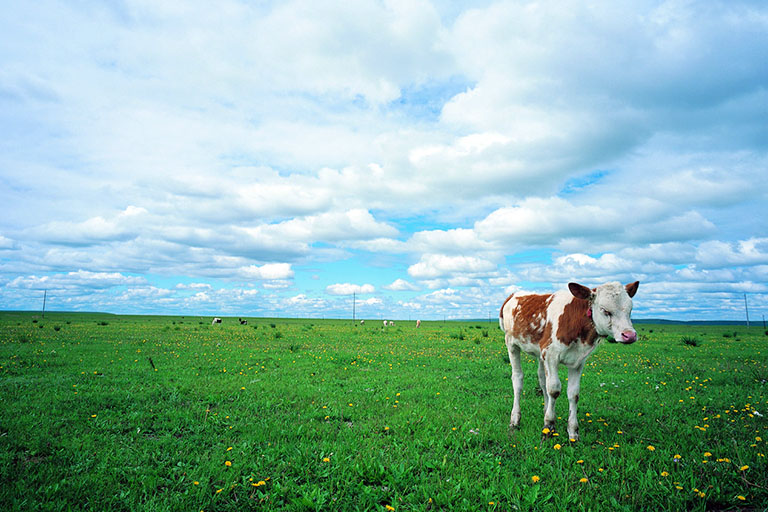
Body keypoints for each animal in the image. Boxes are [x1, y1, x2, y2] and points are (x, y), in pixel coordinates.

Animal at [500, 280, 640, 440]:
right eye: (605, 310)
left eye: (630, 310)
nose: (630, 335)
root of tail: (513, 294)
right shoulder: (551, 355)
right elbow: (554, 389)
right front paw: (549, 426)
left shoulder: (577, 361)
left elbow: (573, 394)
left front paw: (572, 431)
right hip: (511, 344)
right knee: (518, 379)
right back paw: (515, 419)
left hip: (539, 353)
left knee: (542, 380)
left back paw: (545, 409)